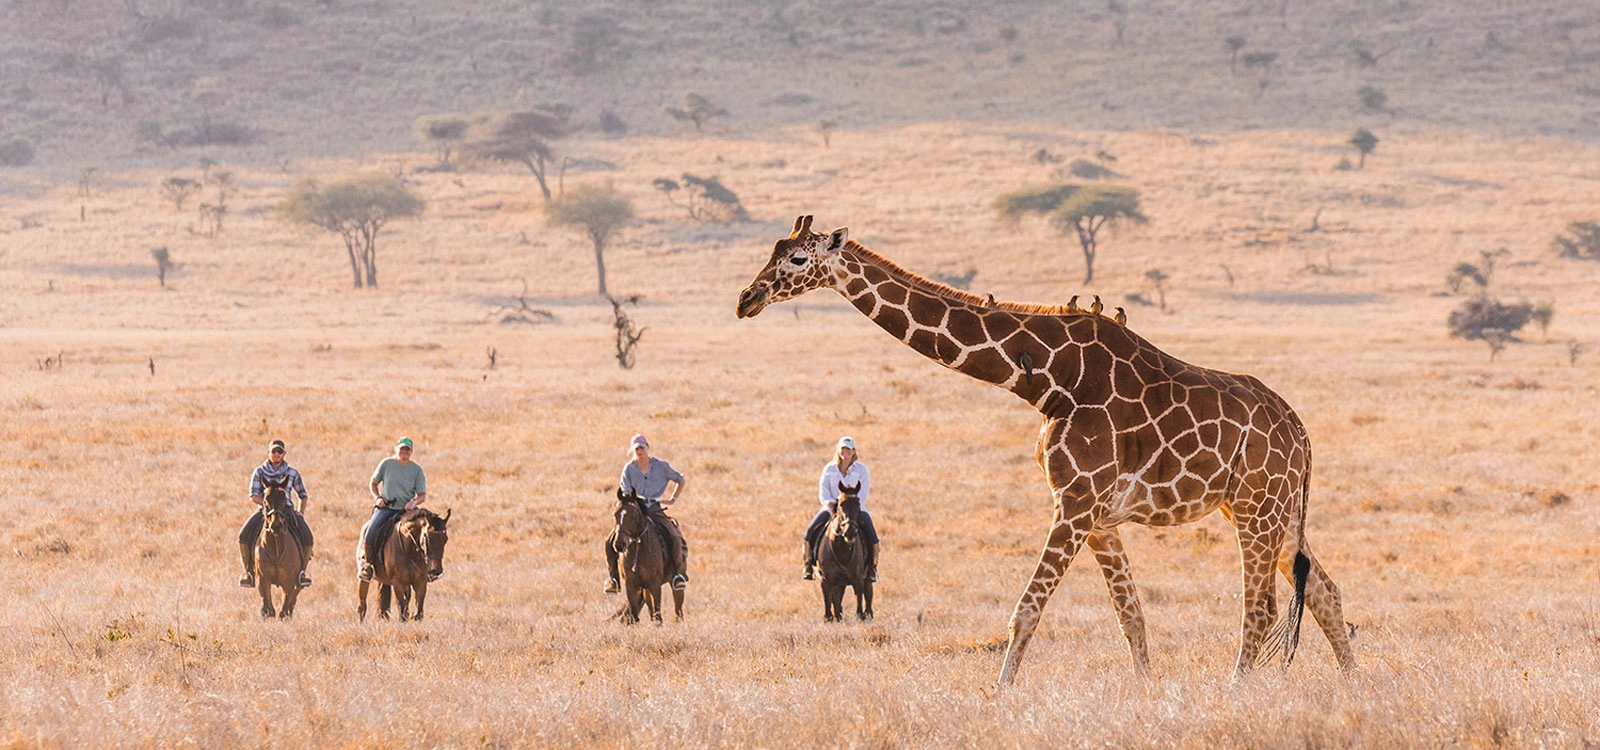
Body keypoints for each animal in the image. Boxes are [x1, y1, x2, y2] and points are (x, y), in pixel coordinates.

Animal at [254, 477, 303, 619]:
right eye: (265, 501)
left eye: (284, 501)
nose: (276, 526)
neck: (276, 550)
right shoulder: (263, 579)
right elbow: (268, 610)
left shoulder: (289, 583)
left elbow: (284, 611)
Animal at [614, 488, 683, 624]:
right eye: (615, 514)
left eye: (634, 515)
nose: (619, 545)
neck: (638, 551)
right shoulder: (631, 585)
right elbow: (635, 614)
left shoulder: (655, 584)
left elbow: (658, 613)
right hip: (645, 588)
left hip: (676, 582)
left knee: (678, 607)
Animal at [818, 481, 873, 622]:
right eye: (841, 504)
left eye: (858, 503)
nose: (850, 532)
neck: (841, 549)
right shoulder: (826, 580)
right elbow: (829, 605)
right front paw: (831, 618)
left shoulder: (858, 579)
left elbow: (859, 605)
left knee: (868, 594)